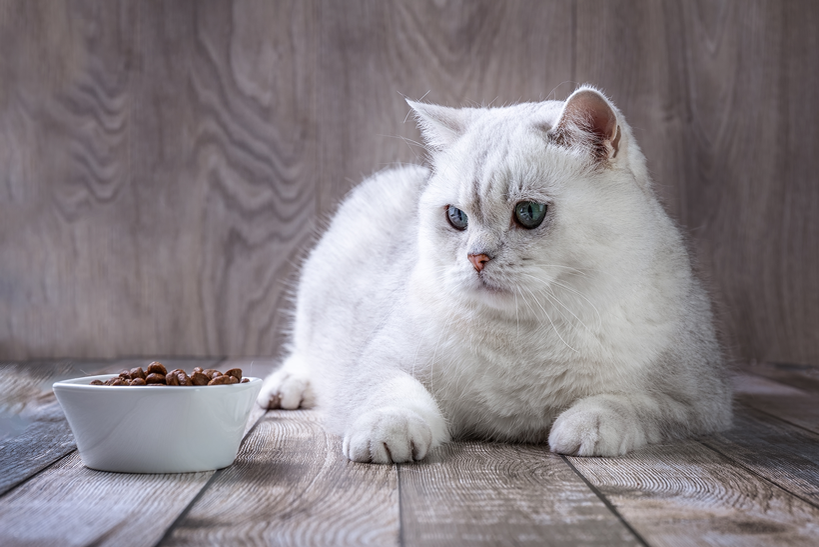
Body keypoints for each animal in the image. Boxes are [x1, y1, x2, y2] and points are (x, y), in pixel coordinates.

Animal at [256, 85, 732, 462]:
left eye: (530, 212)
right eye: (456, 218)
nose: (476, 258)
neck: (524, 336)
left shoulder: (697, 400)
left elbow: (626, 404)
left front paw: (583, 429)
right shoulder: (381, 361)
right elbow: (392, 394)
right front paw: (388, 435)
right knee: (300, 353)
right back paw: (282, 390)